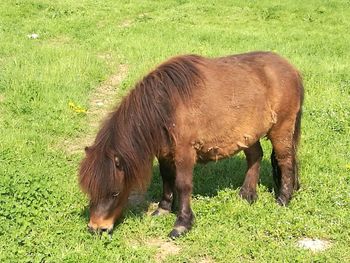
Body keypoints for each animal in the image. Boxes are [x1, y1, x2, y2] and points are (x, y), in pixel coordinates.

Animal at [79, 51, 304, 239]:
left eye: (115, 193)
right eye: (90, 191)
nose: (96, 228)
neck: (167, 104)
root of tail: (292, 69)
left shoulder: (185, 152)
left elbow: (183, 185)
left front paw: (182, 224)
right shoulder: (164, 152)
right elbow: (167, 179)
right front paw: (163, 209)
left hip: (282, 128)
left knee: (285, 160)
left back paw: (283, 199)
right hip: (248, 134)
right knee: (255, 156)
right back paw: (247, 195)